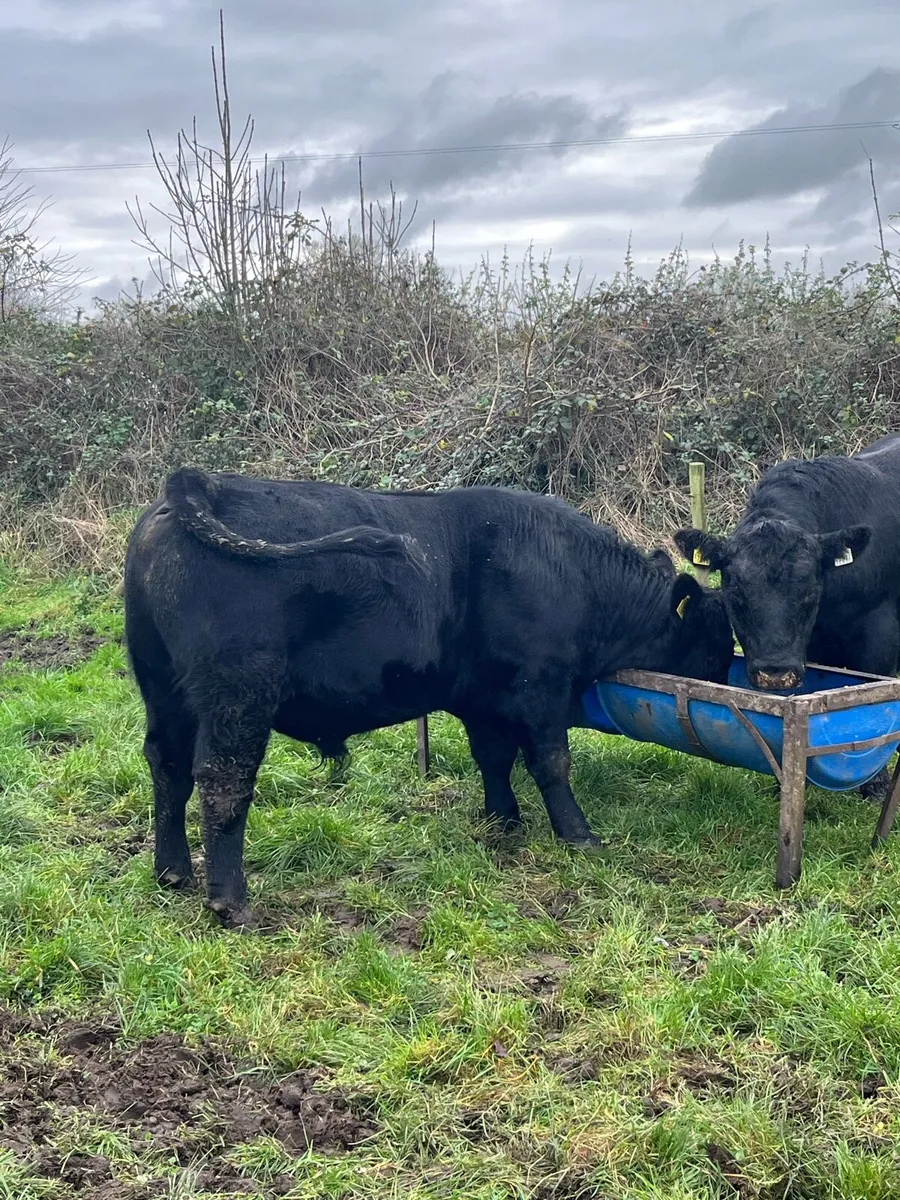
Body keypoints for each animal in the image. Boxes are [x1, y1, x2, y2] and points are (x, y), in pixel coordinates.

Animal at [124, 467, 735, 928]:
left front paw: (503, 822)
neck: (570, 571)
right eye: (715, 638)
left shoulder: (481, 697)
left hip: (163, 686)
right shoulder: (542, 686)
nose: (725, 679)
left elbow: (494, 758)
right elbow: (551, 762)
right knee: (222, 780)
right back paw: (230, 901)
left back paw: (172, 871)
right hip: (238, 691)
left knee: (167, 767)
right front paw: (579, 837)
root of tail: (198, 483)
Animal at [674, 433, 900, 794]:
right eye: (735, 591)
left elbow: (874, 702)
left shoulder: (880, 632)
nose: (775, 671)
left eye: (810, 588)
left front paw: (875, 783)